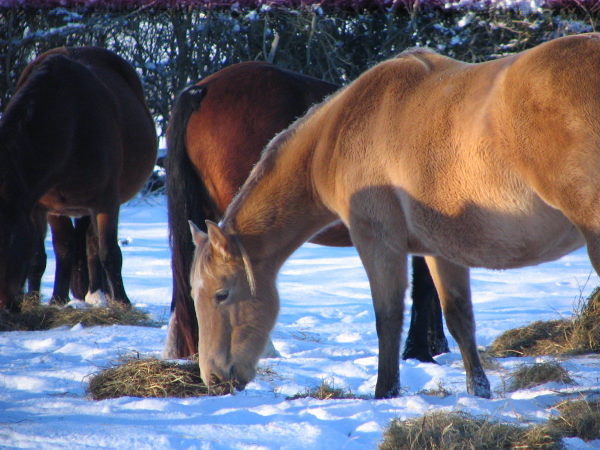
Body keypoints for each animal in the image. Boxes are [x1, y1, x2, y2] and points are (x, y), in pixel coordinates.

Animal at [0, 47, 157, 312]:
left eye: (11, 240)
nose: (4, 305)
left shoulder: (106, 203)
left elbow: (109, 253)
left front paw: (122, 302)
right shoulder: (47, 206)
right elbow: (53, 253)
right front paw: (49, 299)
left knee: (93, 245)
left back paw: (98, 294)